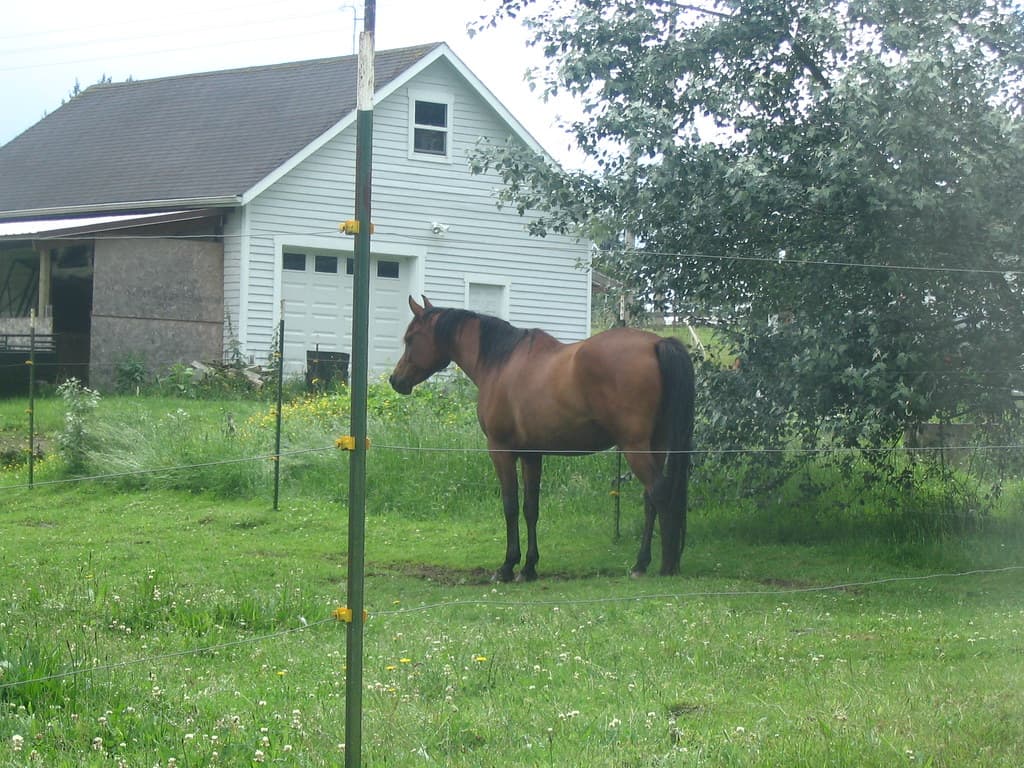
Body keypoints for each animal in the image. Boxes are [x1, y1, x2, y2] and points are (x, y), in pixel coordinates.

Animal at [389, 296, 695, 582]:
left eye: (411, 338)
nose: (396, 380)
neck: (500, 362)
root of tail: (657, 343)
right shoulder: (532, 455)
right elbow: (531, 508)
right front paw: (529, 567)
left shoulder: (500, 451)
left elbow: (511, 506)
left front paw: (507, 566)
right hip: (655, 445)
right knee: (650, 499)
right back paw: (641, 564)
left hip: (635, 447)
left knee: (659, 491)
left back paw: (665, 566)